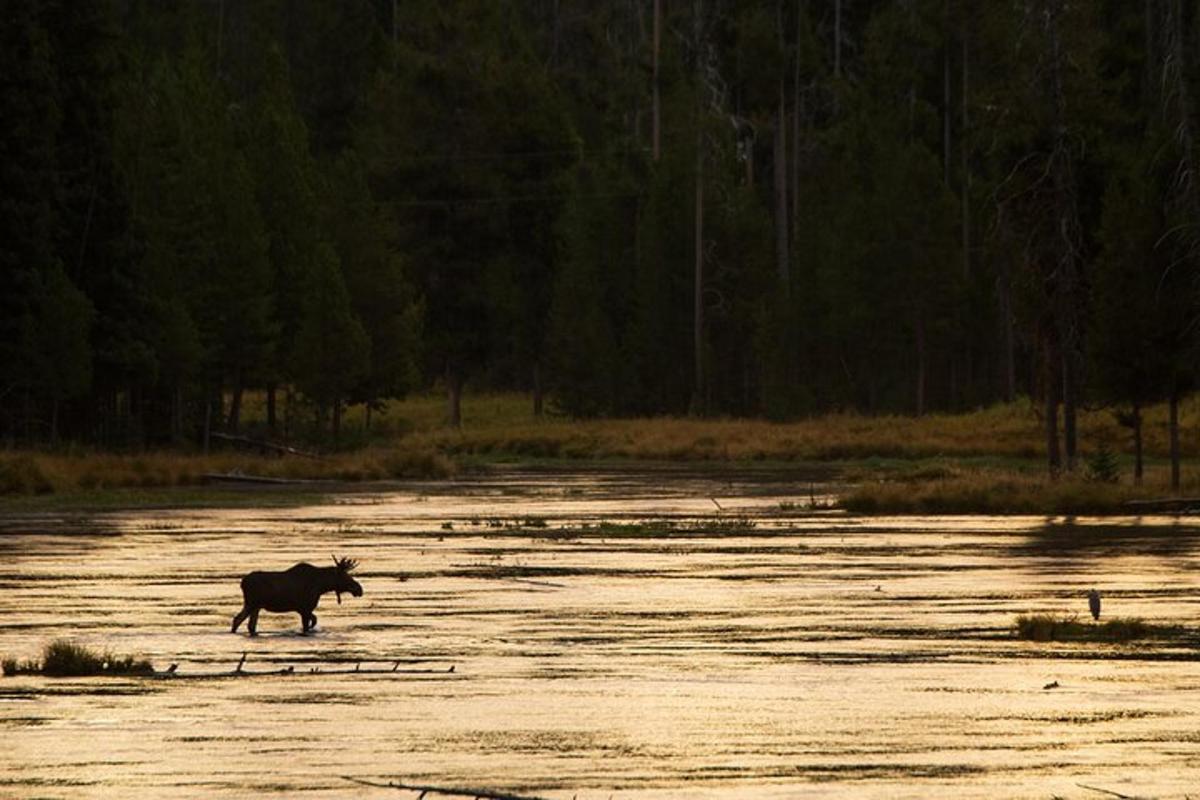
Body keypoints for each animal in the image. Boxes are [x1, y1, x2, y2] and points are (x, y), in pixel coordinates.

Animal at [231, 556, 362, 638]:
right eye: (345, 576)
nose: (359, 589)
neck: (321, 586)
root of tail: (242, 583)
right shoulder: (304, 609)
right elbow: (309, 624)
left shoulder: (303, 610)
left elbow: (313, 621)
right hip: (251, 603)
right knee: (238, 620)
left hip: (256, 606)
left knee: (249, 624)